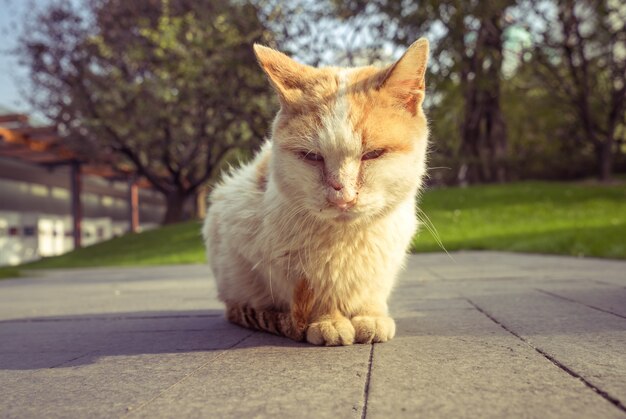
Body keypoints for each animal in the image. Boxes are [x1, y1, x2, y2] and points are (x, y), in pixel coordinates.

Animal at [204, 38, 428, 348]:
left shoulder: (385, 260)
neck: (346, 240)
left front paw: (370, 316)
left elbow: (371, 291)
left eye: (373, 154)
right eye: (312, 157)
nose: (343, 195)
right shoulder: (280, 263)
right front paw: (328, 322)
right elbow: (319, 292)